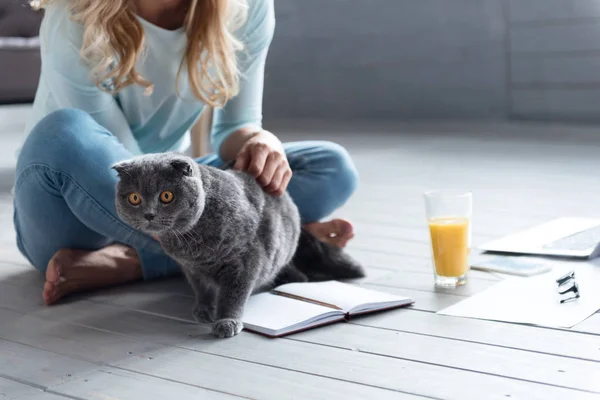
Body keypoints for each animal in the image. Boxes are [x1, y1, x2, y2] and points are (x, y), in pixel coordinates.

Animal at [112, 152, 366, 338]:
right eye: (134, 198)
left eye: (166, 196)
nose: (149, 214)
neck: (192, 245)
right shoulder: (191, 269)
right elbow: (202, 290)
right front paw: (203, 310)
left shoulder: (245, 260)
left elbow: (233, 295)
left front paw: (227, 321)